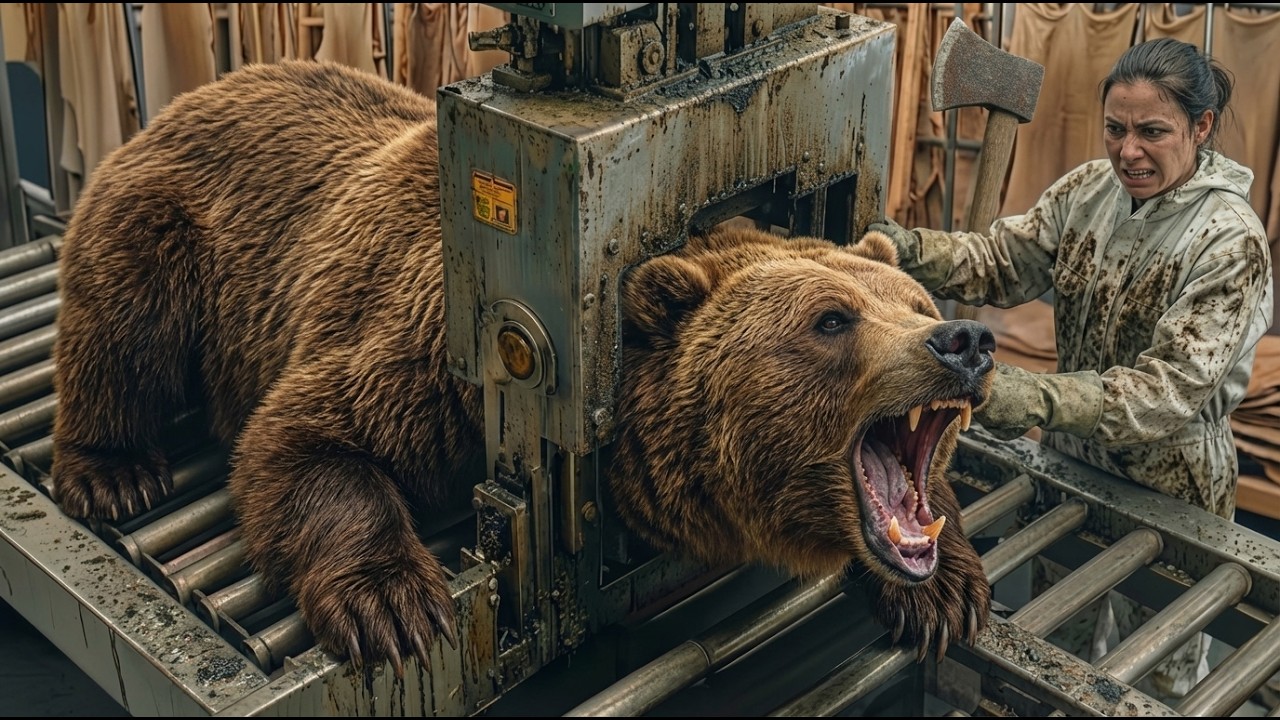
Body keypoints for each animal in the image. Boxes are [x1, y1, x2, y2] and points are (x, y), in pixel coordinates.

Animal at [49, 59, 994, 675]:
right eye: (831, 320)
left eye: (915, 299)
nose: (965, 341)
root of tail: (194, 93)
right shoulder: (421, 356)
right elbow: (300, 441)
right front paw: (393, 606)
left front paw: (947, 589)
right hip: (170, 227)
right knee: (122, 330)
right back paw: (114, 471)